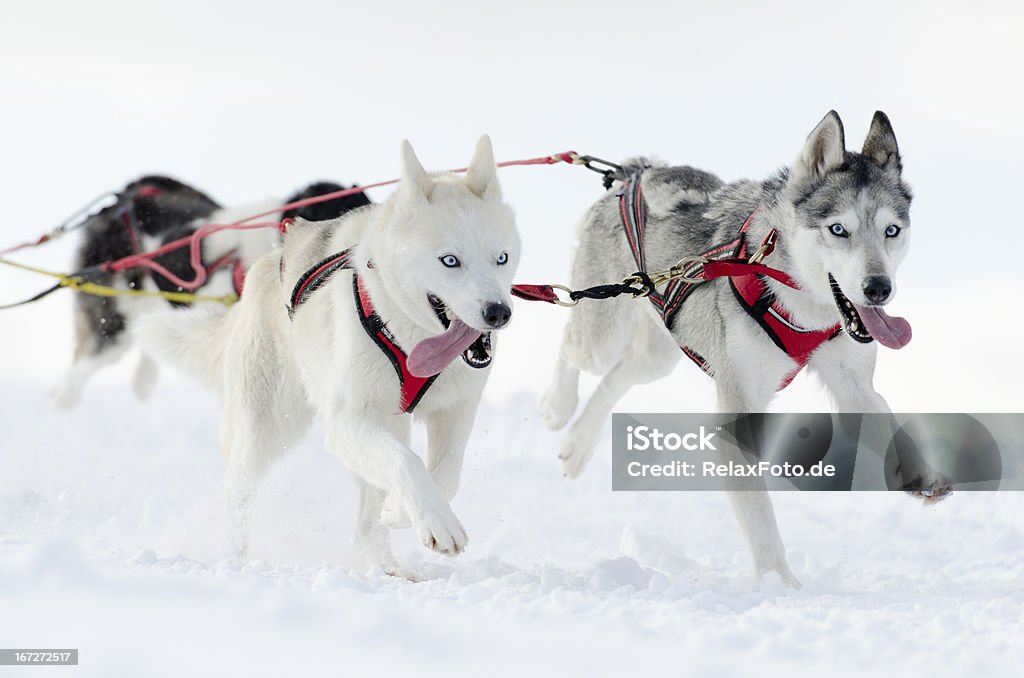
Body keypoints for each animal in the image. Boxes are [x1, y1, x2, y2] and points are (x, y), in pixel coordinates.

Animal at [138, 137, 520, 577]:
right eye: (451, 261)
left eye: (501, 258)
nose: (498, 312)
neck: (409, 336)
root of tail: (269, 260)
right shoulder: (347, 419)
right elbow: (408, 464)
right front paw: (435, 521)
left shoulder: (456, 411)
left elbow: (445, 475)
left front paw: (401, 512)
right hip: (265, 427)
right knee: (239, 490)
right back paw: (234, 557)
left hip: (384, 423)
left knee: (367, 521)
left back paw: (388, 566)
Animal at [544, 112, 942, 589]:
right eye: (838, 229)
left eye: (891, 231)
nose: (878, 288)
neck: (793, 295)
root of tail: (633, 172)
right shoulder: (739, 410)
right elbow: (759, 509)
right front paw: (778, 583)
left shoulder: (853, 384)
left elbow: (884, 417)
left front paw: (917, 474)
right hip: (600, 336)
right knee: (571, 346)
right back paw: (557, 407)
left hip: (659, 355)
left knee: (615, 379)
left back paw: (577, 445)